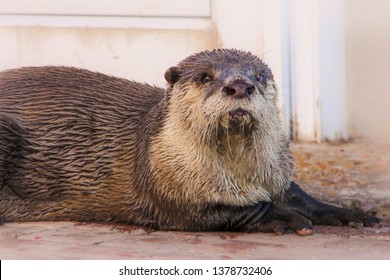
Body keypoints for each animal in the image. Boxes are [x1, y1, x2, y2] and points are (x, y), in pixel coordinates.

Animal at [0, 48, 378, 234]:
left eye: (260, 76)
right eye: (205, 76)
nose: (239, 85)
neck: (239, 177)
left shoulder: (276, 172)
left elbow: (295, 193)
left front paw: (347, 213)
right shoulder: (167, 187)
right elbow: (231, 211)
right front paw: (283, 217)